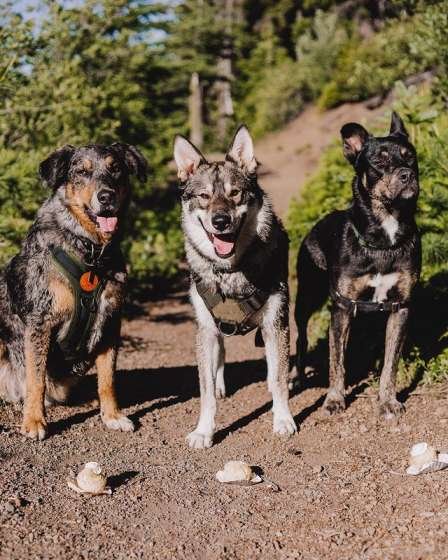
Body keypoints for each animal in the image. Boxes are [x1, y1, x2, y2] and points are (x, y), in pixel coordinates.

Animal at [0, 142, 147, 440]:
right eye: (81, 172)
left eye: (116, 168)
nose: (106, 196)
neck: (89, 249)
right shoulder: (40, 322)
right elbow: (36, 379)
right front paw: (34, 421)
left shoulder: (111, 321)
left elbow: (108, 379)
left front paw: (112, 415)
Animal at [173, 124, 296, 448]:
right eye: (204, 196)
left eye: (235, 193)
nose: (220, 221)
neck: (231, 271)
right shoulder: (205, 329)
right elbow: (204, 391)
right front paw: (204, 431)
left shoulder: (276, 324)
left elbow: (279, 379)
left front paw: (283, 419)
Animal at [294, 111, 420, 418]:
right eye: (379, 162)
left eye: (410, 157)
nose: (408, 174)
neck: (384, 238)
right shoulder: (341, 306)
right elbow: (336, 361)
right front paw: (334, 399)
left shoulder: (400, 308)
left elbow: (390, 364)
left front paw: (388, 401)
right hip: (307, 295)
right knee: (301, 336)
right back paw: (298, 377)